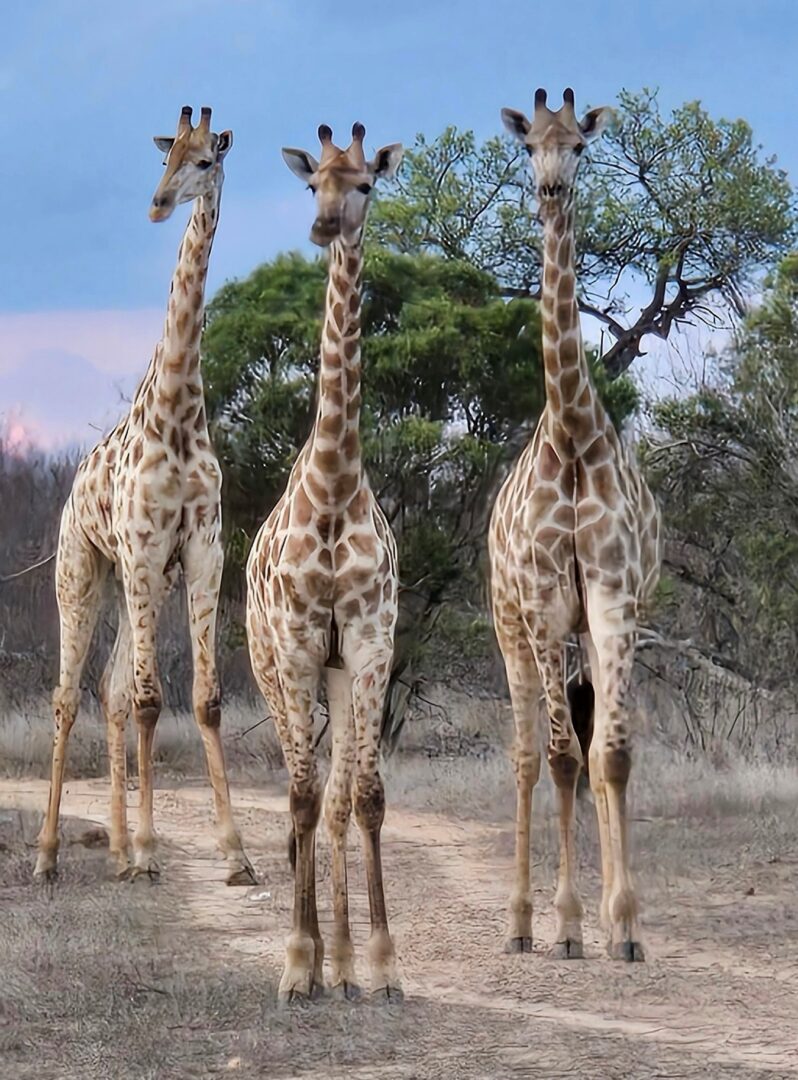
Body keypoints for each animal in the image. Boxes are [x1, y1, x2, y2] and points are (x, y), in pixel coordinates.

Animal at [35, 105, 256, 887]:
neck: (179, 411)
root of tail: (71, 488)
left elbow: (204, 700)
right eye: (166, 156)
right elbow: (154, 700)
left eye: (204, 160)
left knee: (109, 691)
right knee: (70, 695)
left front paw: (236, 854)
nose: (158, 204)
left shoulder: (201, 549)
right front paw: (156, 851)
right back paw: (48, 857)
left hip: (142, 581)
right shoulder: (143, 545)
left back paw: (119, 849)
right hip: (85, 571)